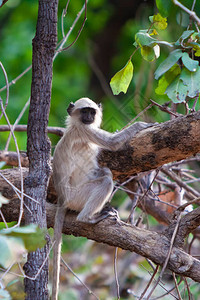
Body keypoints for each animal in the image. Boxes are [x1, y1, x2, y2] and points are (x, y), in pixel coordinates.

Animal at [51, 97, 155, 298]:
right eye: (84, 111)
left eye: (92, 112)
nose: (89, 117)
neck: (75, 125)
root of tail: (62, 198)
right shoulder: (85, 130)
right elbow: (113, 143)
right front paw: (142, 125)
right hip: (77, 196)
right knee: (106, 180)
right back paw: (87, 218)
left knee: (106, 173)